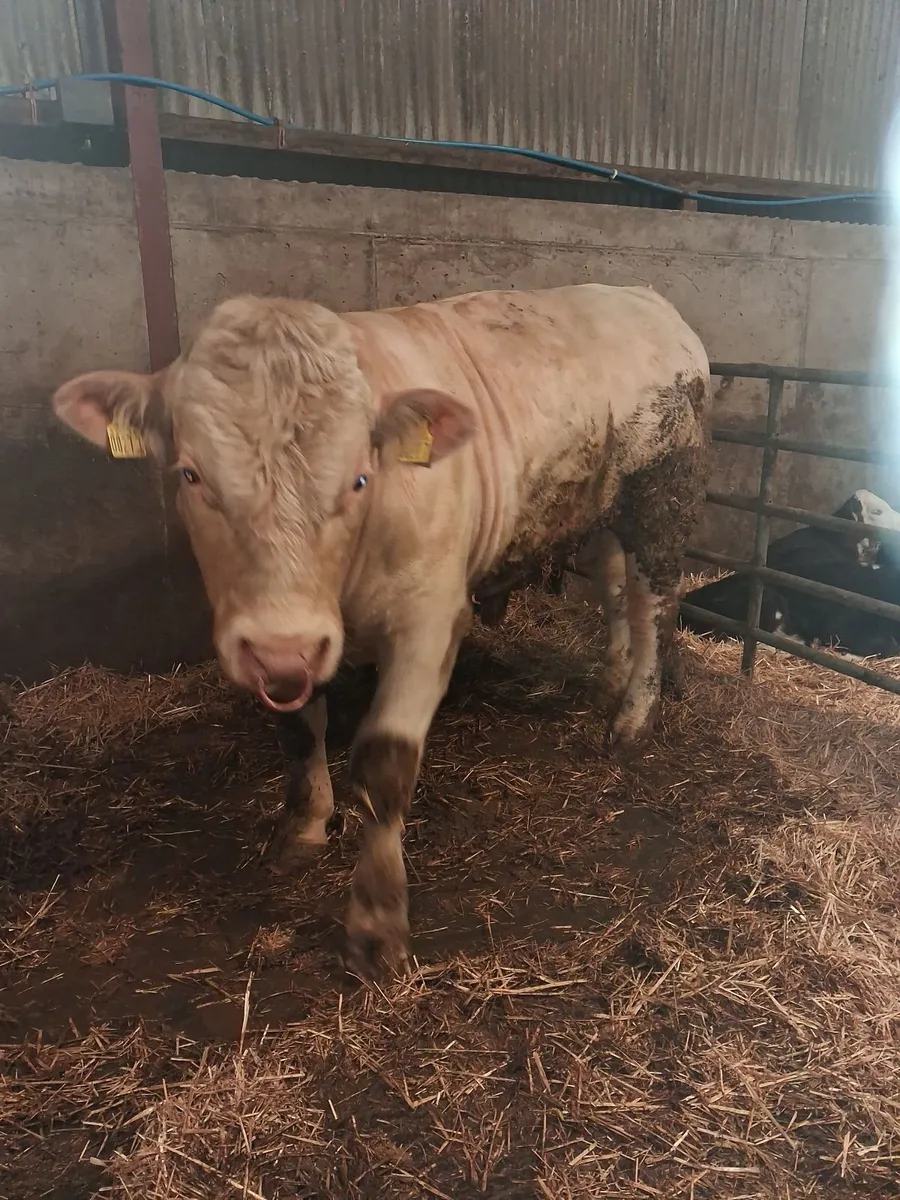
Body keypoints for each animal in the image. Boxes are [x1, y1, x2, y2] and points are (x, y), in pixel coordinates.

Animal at [53, 284, 710, 976]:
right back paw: (609, 679)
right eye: (191, 474)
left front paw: (377, 925)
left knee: (653, 604)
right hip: (605, 508)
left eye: (359, 477)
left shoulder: (428, 621)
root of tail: (641, 295)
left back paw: (634, 717)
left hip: (663, 499)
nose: (277, 647)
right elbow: (298, 733)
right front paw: (304, 828)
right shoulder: (291, 646)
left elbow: (385, 766)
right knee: (613, 588)